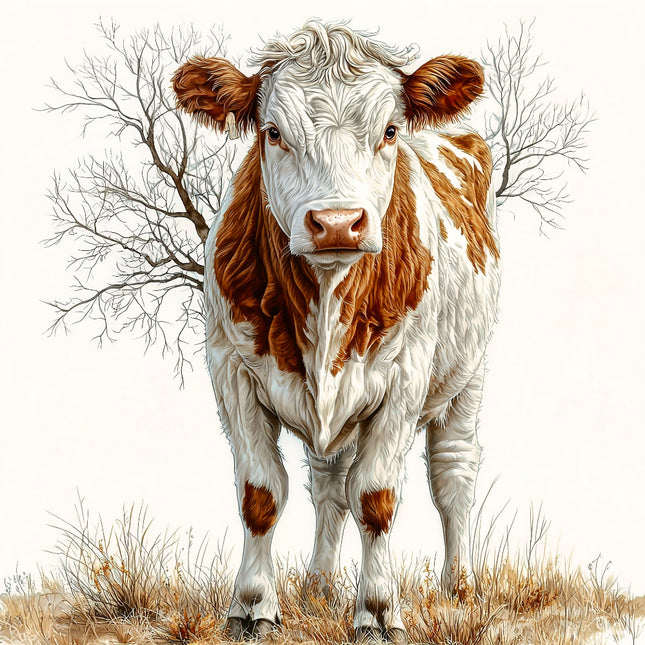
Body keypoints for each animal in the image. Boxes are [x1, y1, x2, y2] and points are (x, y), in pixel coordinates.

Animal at [172, 20, 500, 643]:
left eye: (390, 130)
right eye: (273, 132)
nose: (337, 224)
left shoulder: (406, 376)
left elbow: (376, 497)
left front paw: (377, 612)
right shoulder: (229, 368)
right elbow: (261, 493)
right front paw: (253, 607)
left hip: (468, 378)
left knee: (453, 479)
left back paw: (462, 588)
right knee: (328, 484)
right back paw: (320, 585)